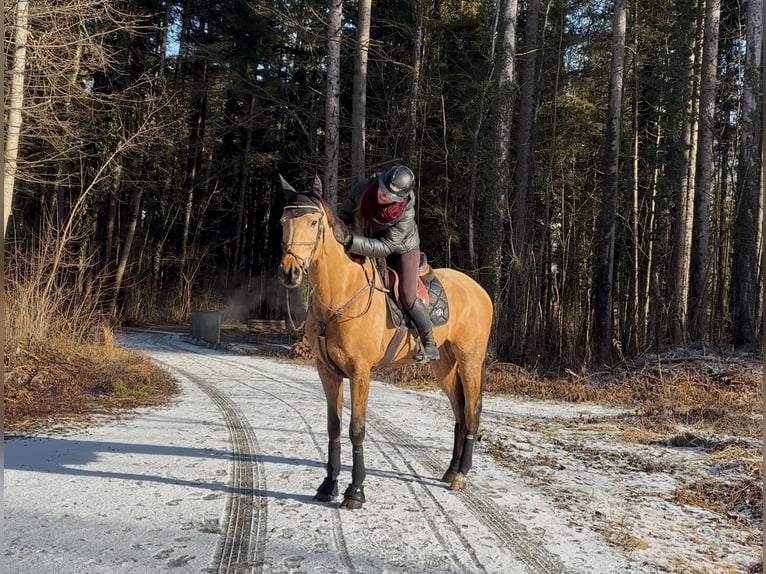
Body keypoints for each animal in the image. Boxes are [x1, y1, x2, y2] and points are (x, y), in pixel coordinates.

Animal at [280, 173, 496, 510]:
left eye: (314, 222)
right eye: (282, 221)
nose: (289, 272)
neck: (340, 294)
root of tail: (479, 291)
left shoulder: (360, 372)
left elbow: (356, 430)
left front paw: (355, 491)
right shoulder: (327, 372)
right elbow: (333, 428)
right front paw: (328, 485)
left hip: (470, 360)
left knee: (472, 411)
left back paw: (461, 475)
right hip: (445, 366)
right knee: (460, 413)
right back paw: (450, 470)